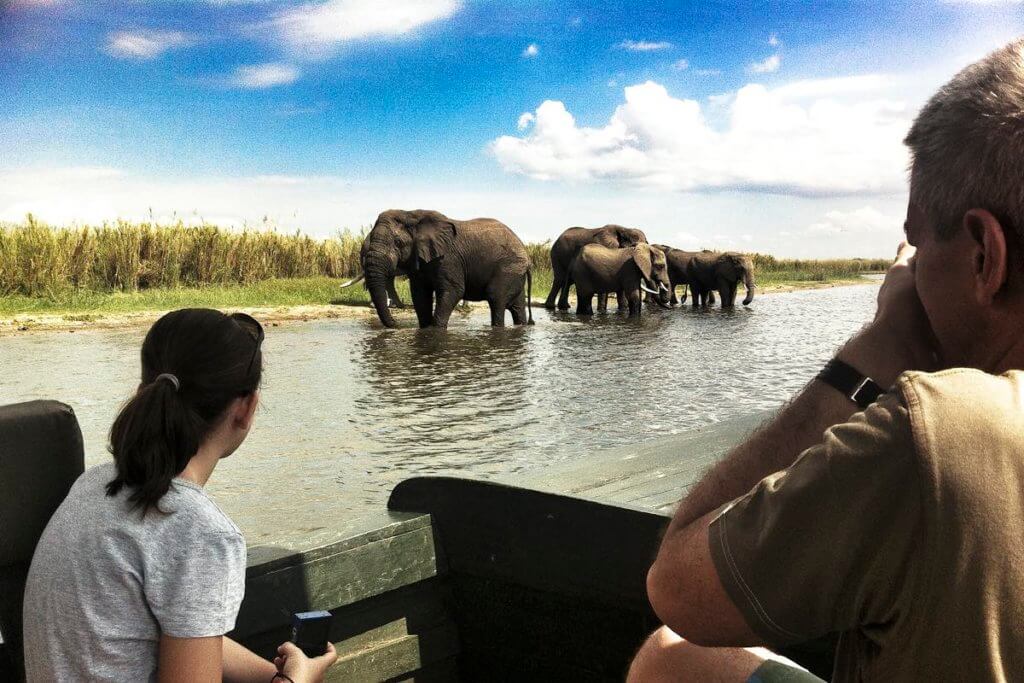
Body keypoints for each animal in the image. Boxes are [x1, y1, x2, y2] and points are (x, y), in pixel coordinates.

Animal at [362, 208, 536, 327]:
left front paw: (435, 330)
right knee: (517, 307)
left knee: (495, 298)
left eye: (398, 243)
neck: (411, 214)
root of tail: (527, 257)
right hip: (515, 272)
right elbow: (419, 295)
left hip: (508, 269)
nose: (396, 324)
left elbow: (453, 291)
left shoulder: (449, 258)